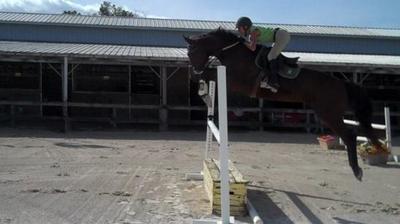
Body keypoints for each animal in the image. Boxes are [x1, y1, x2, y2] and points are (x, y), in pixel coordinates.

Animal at [183, 28, 386, 182]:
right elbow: (208, 74)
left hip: (328, 113)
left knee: (350, 135)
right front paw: (202, 88)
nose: (194, 70)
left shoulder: (236, 81)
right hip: (327, 112)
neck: (233, 52)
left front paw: (201, 84)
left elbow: (209, 73)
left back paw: (357, 171)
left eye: (191, 52)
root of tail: (342, 84)